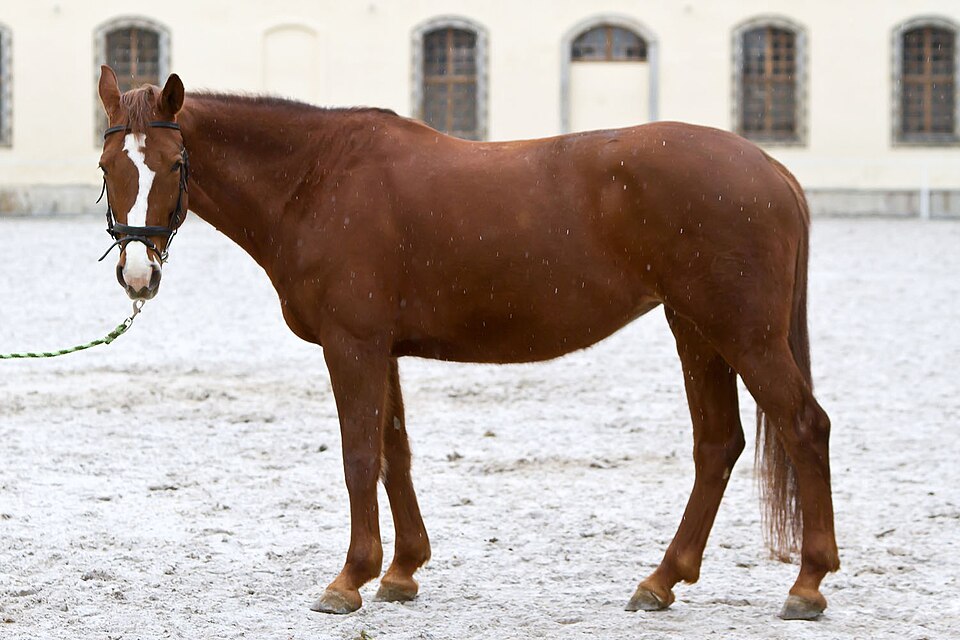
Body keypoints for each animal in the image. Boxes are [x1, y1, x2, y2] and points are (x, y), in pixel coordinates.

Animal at [95, 65, 838, 620]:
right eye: (107, 163)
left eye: (172, 163)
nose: (137, 275)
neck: (317, 176)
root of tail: (770, 169)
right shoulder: (382, 349)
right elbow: (394, 454)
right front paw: (401, 572)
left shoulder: (352, 345)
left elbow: (359, 455)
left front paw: (349, 580)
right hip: (696, 330)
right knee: (718, 445)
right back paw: (662, 580)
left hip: (743, 334)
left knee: (804, 426)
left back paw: (807, 583)